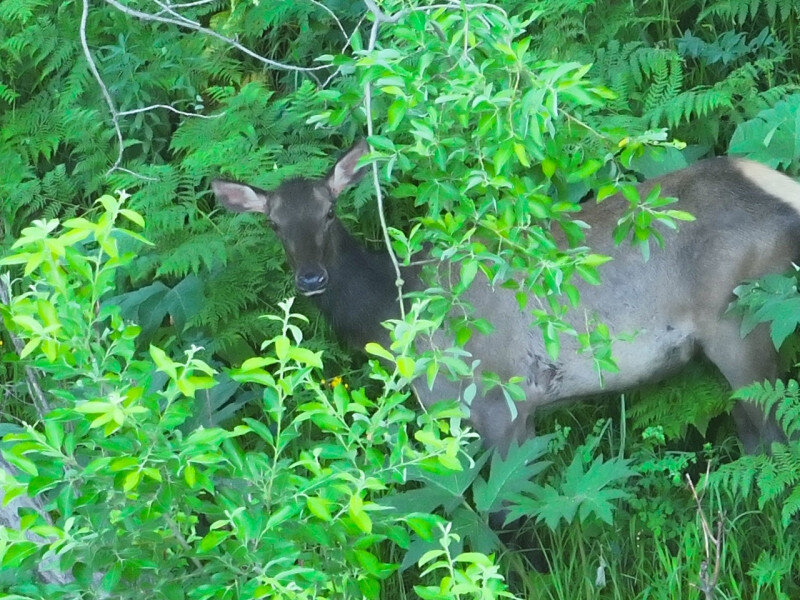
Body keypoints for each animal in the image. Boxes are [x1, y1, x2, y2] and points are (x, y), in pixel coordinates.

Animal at [212, 141, 800, 450]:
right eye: (273, 225)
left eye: (330, 212)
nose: (311, 278)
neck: (395, 313)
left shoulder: (503, 400)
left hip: (742, 322)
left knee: (774, 436)